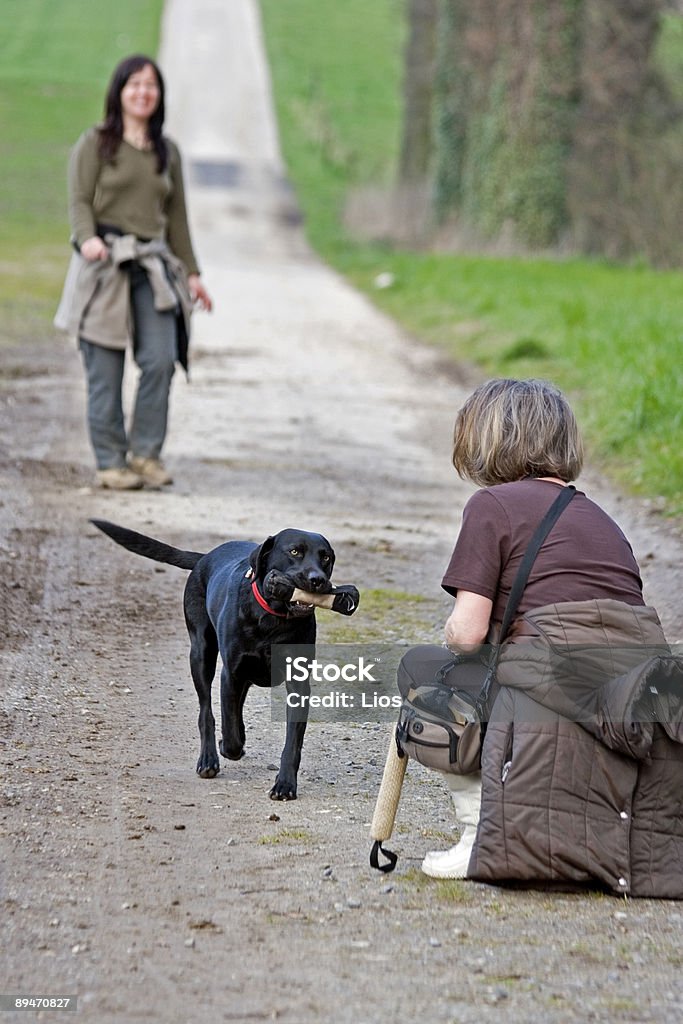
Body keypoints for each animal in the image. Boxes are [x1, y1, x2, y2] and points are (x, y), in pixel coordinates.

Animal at [92, 520, 362, 798]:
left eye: (325, 557)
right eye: (295, 551)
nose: (317, 580)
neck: (273, 618)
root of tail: (205, 557)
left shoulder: (297, 683)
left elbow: (292, 742)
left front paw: (285, 784)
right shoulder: (231, 673)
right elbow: (229, 729)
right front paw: (229, 747)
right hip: (201, 654)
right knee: (207, 711)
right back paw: (209, 758)